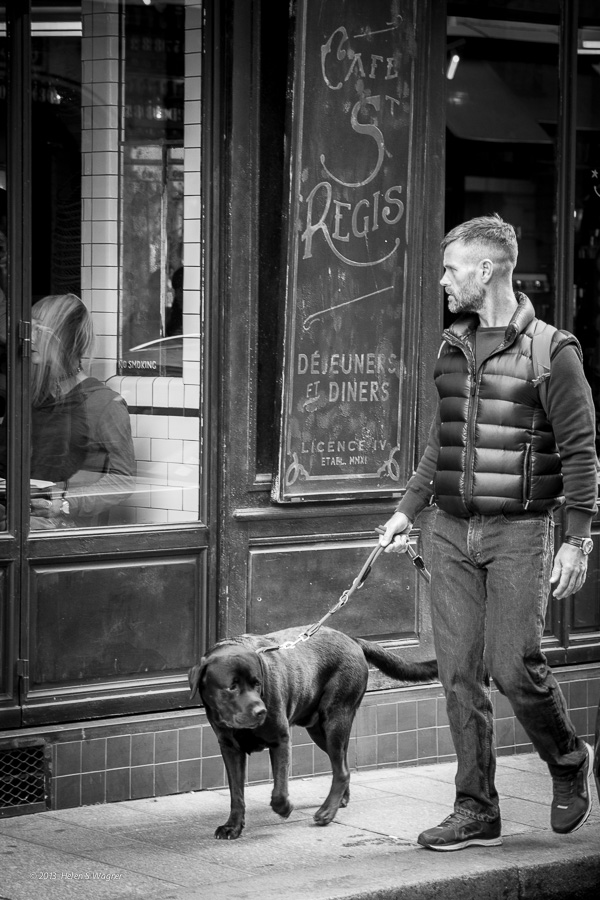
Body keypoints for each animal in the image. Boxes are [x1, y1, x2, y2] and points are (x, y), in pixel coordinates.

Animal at [190, 624, 438, 836]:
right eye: (231, 687)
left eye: (257, 683)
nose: (261, 711)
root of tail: (352, 639)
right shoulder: (229, 748)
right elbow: (236, 793)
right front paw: (232, 826)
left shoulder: (281, 739)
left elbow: (279, 790)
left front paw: (284, 808)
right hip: (320, 731)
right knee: (343, 765)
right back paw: (340, 801)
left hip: (336, 719)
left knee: (341, 770)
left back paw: (327, 812)